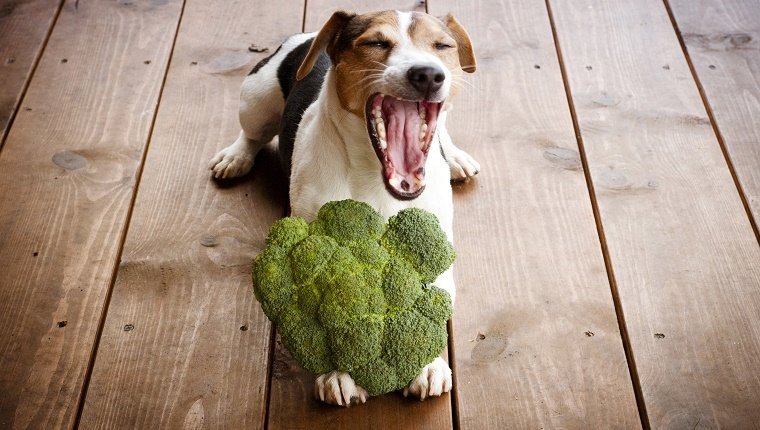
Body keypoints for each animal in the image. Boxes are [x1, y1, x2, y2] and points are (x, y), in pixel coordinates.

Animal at [211, 9, 478, 406]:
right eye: (376, 43)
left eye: (442, 45)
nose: (428, 74)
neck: (374, 178)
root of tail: (308, 38)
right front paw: (339, 374)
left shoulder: (434, 246)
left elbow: (432, 297)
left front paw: (428, 364)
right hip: (256, 100)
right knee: (252, 134)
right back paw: (236, 156)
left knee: (444, 129)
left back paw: (456, 156)